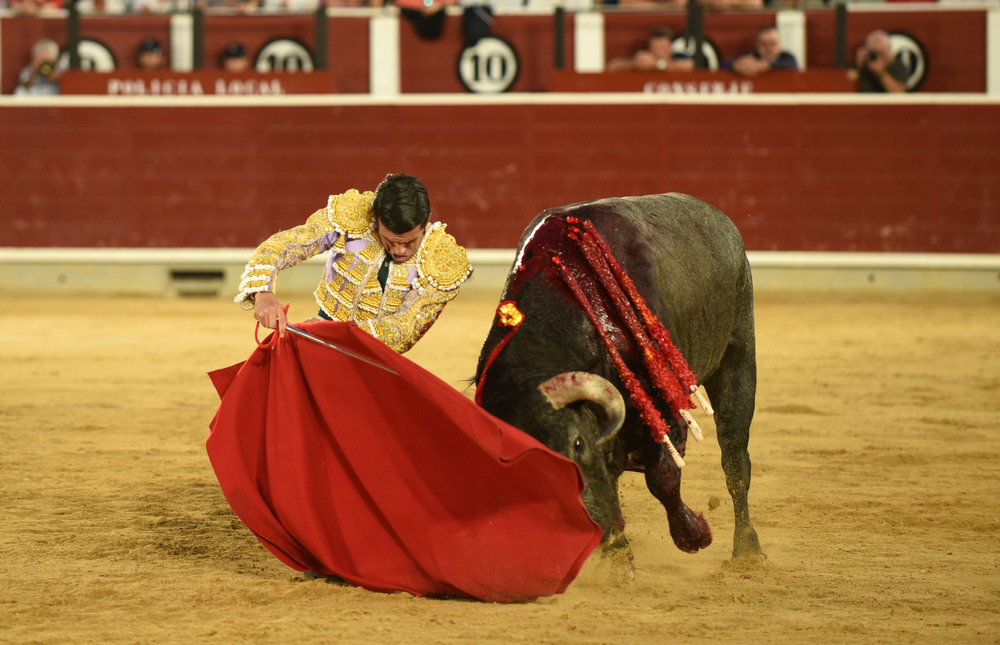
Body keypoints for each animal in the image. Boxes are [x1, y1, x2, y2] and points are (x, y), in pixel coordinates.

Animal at [472, 194, 760, 568]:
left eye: (577, 444)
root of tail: (719, 218)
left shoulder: (665, 409)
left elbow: (662, 478)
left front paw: (694, 534)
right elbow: (611, 478)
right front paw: (619, 557)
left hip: (738, 355)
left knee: (735, 457)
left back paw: (748, 551)